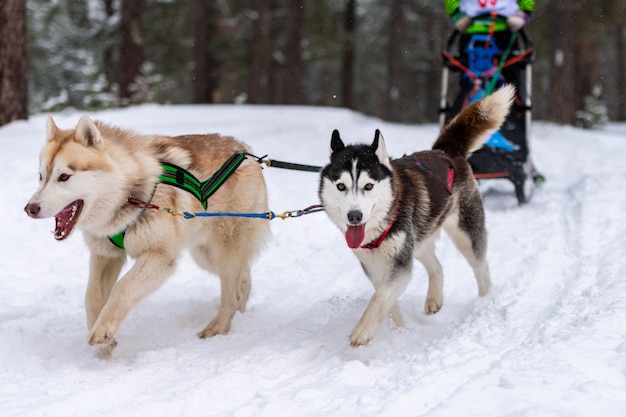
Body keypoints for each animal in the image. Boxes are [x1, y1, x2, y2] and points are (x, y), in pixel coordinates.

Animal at [25, 115, 268, 356]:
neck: (125, 196)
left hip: (223, 248)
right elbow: (92, 298)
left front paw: (103, 331)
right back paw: (240, 309)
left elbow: (122, 288)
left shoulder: (159, 256)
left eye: (64, 176)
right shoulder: (105, 256)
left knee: (231, 292)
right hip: (206, 256)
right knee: (243, 275)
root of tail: (243, 150)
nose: (30, 208)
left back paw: (218, 327)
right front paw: (104, 342)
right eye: (41, 176)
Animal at [316, 83, 512, 344]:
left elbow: (380, 297)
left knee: (482, 268)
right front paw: (399, 329)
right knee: (437, 266)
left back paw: (484, 303)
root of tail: (446, 152)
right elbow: (386, 298)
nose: (354, 216)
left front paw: (363, 330)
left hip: (465, 235)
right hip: (418, 240)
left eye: (368, 186)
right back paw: (434, 299)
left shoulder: (400, 264)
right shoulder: (374, 265)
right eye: (341, 186)